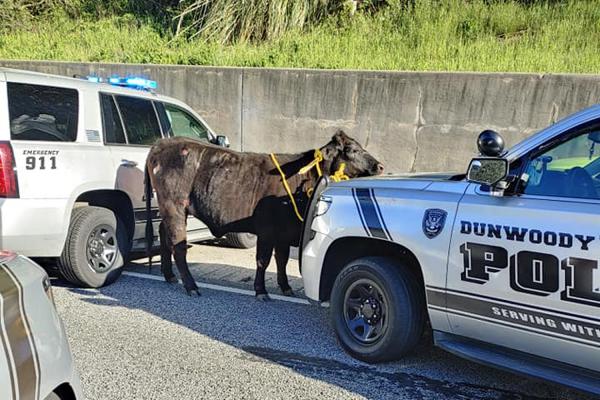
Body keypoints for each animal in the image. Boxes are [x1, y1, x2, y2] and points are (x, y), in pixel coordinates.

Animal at [145, 130, 380, 298]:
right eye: (351, 150)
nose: (380, 165)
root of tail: (162, 143)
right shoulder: (267, 229)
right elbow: (263, 260)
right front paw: (261, 290)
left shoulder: (284, 232)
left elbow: (281, 260)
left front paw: (285, 287)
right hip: (175, 207)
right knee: (178, 246)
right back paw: (191, 286)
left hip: (171, 210)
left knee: (164, 235)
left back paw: (169, 276)